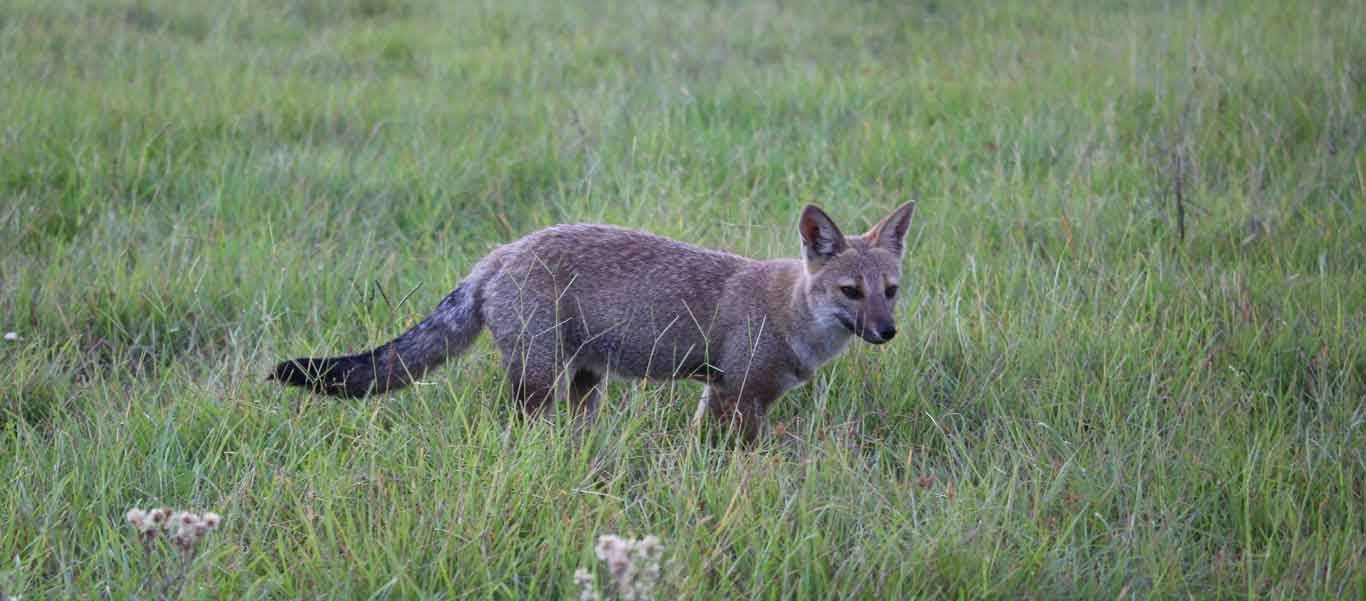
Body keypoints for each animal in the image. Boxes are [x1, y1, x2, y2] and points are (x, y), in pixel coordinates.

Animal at [270, 199, 912, 439]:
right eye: (850, 291)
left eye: (890, 292)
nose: (887, 333)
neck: (793, 313)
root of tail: (499, 254)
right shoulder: (739, 396)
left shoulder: (725, 393)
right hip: (539, 383)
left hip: (584, 384)